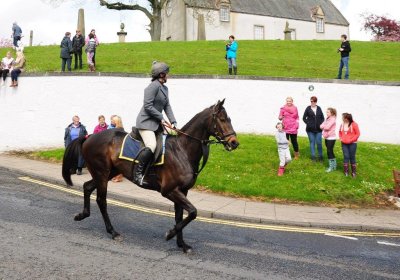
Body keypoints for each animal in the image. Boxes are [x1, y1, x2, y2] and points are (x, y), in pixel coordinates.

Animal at [61, 99, 239, 253]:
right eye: (222, 119)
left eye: (229, 118)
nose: (234, 142)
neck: (182, 150)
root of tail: (89, 136)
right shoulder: (169, 190)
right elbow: (192, 213)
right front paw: (170, 234)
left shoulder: (182, 191)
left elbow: (180, 216)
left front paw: (182, 244)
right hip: (102, 173)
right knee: (101, 200)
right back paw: (113, 232)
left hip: (109, 172)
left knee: (87, 187)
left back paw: (82, 215)